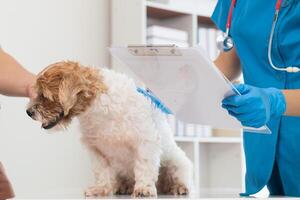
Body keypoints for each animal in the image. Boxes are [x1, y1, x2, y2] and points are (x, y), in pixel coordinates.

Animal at [27, 61, 193, 198]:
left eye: (44, 95)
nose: (28, 112)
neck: (97, 109)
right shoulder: (95, 149)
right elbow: (101, 172)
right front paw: (100, 189)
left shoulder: (145, 141)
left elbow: (144, 166)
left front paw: (144, 188)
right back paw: (123, 186)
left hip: (176, 163)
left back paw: (178, 187)